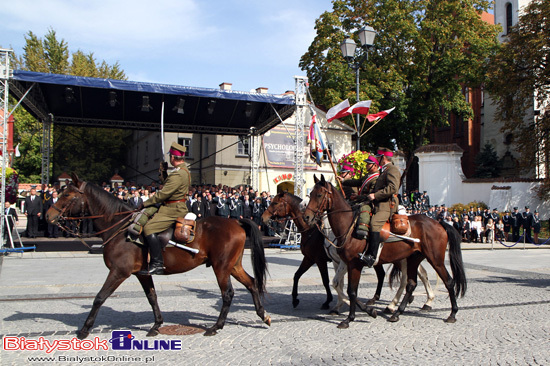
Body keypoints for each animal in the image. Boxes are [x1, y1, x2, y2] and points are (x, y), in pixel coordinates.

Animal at [45, 174, 272, 338]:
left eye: (67, 195)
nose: (48, 215)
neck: (120, 227)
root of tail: (235, 222)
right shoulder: (142, 273)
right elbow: (152, 297)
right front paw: (156, 325)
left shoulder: (119, 272)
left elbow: (100, 297)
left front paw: (84, 329)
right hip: (232, 266)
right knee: (252, 283)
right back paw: (263, 315)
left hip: (221, 267)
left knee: (227, 294)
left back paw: (216, 326)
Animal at [304, 175, 468, 328]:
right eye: (310, 194)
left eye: (319, 195)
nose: (307, 217)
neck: (348, 227)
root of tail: (438, 223)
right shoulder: (344, 263)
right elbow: (343, 286)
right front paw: (364, 311)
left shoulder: (353, 265)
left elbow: (351, 291)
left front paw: (350, 318)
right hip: (413, 259)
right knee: (411, 283)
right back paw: (397, 312)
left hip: (435, 259)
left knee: (448, 281)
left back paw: (451, 313)